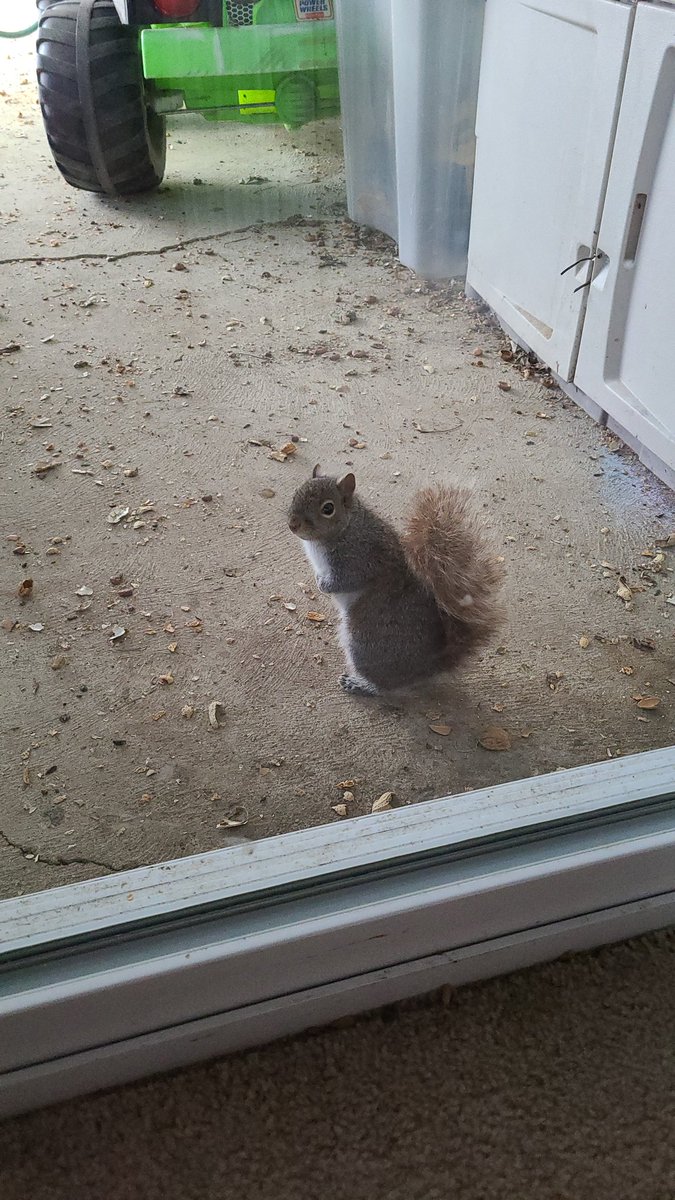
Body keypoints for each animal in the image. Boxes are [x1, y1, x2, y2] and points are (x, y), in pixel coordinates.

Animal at [288, 466, 504, 696]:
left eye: (328, 508)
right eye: (296, 493)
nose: (293, 524)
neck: (348, 527)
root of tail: (428, 667)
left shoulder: (361, 559)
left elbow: (346, 580)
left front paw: (324, 585)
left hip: (365, 639)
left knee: (384, 685)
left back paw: (360, 684)